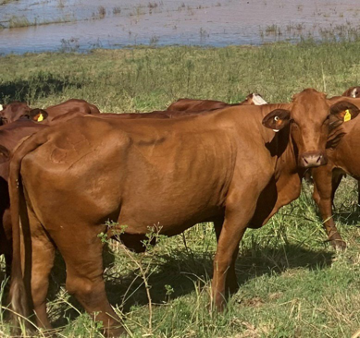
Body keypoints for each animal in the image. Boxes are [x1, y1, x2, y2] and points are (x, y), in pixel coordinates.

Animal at [9, 88, 358, 336]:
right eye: (294, 122)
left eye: (327, 120)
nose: (313, 159)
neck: (266, 140)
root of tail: (50, 134)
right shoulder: (241, 204)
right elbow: (223, 255)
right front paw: (217, 308)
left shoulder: (221, 210)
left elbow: (230, 253)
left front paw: (231, 289)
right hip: (80, 234)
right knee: (85, 285)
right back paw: (118, 329)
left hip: (38, 235)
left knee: (36, 282)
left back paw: (48, 332)